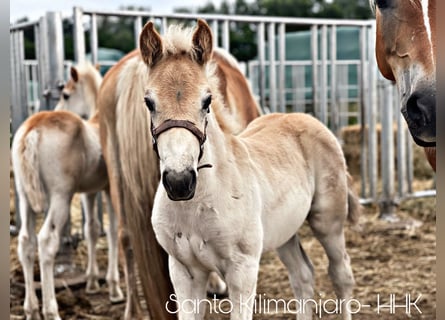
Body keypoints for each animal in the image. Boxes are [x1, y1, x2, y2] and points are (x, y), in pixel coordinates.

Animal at [12, 62, 123, 320]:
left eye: (65, 95)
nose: (58, 105)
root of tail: (32, 129)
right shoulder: (108, 188)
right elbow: (112, 230)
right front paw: (114, 289)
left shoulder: (88, 192)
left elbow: (92, 229)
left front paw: (92, 283)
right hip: (60, 196)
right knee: (46, 241)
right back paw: (51, 310)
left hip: (24, 196)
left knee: (26, 242)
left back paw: (31, 309)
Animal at [140, 20, 360, 320]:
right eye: (149, 102)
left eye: (207, 101)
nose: (179, 181)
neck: (199, 204)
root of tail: (305, 118)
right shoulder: (184, 271)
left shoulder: (242, 270)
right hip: (284, 232)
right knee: (303, 275)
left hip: (328, 222)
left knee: (341, 274)